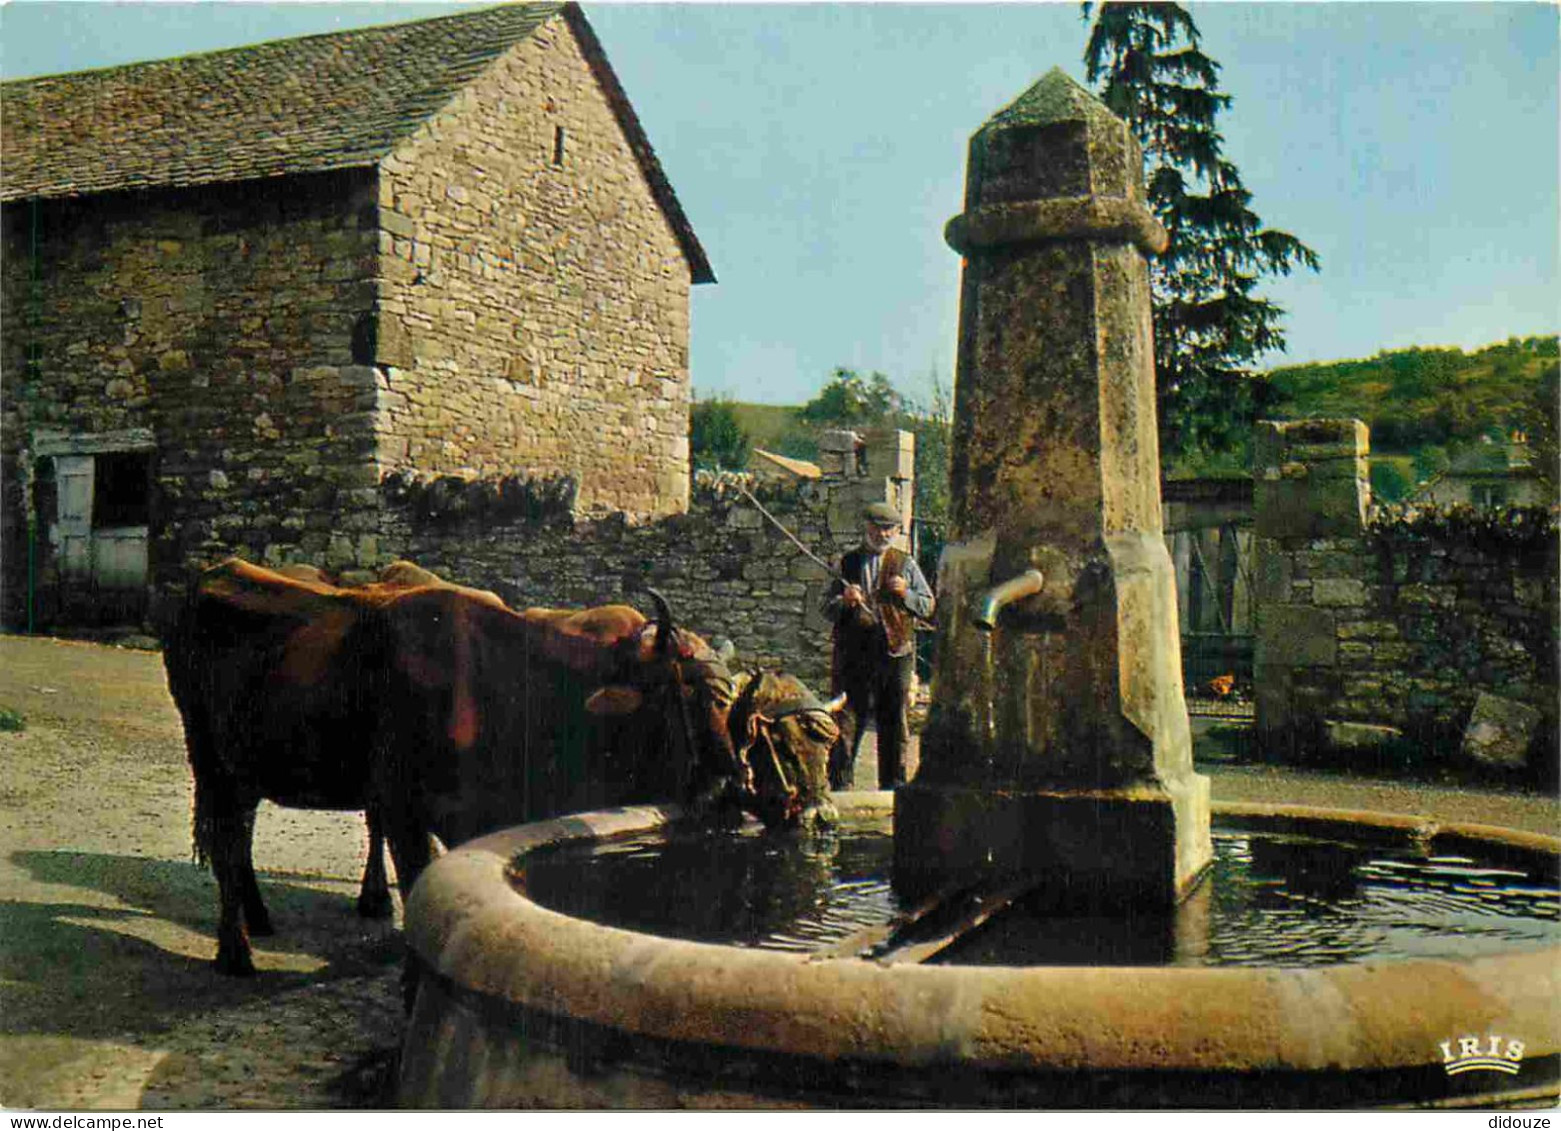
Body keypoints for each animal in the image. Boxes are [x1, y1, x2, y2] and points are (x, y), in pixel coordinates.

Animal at [163, 555, 836, 973]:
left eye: (733, 701)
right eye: (699, 695)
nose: (731, 781)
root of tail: (213, 574)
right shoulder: (406, 806)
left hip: (247, 764)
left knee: (241, 834)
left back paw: (260, 918)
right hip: (210, 757)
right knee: (228, 838)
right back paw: (236, 951)